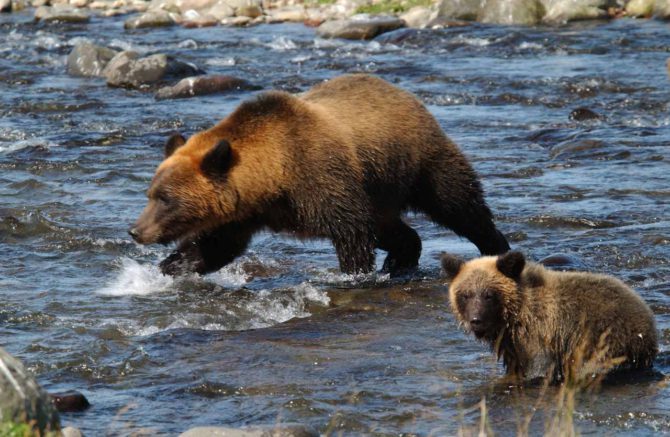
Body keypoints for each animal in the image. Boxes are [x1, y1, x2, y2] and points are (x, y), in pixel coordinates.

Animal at [130, 73, 510, 274]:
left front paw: (354, 273)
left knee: (459, 203)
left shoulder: (319, 176)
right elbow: (216, 245)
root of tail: (403, 92)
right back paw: (399, 261)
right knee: (395, 229)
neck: (273, 178)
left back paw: (496, 247)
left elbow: (352, 230)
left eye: (165, 198)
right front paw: (171, 266)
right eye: (150, 194)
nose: (136, 231)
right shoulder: (246, 211)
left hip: (415, 161)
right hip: (378, 190)